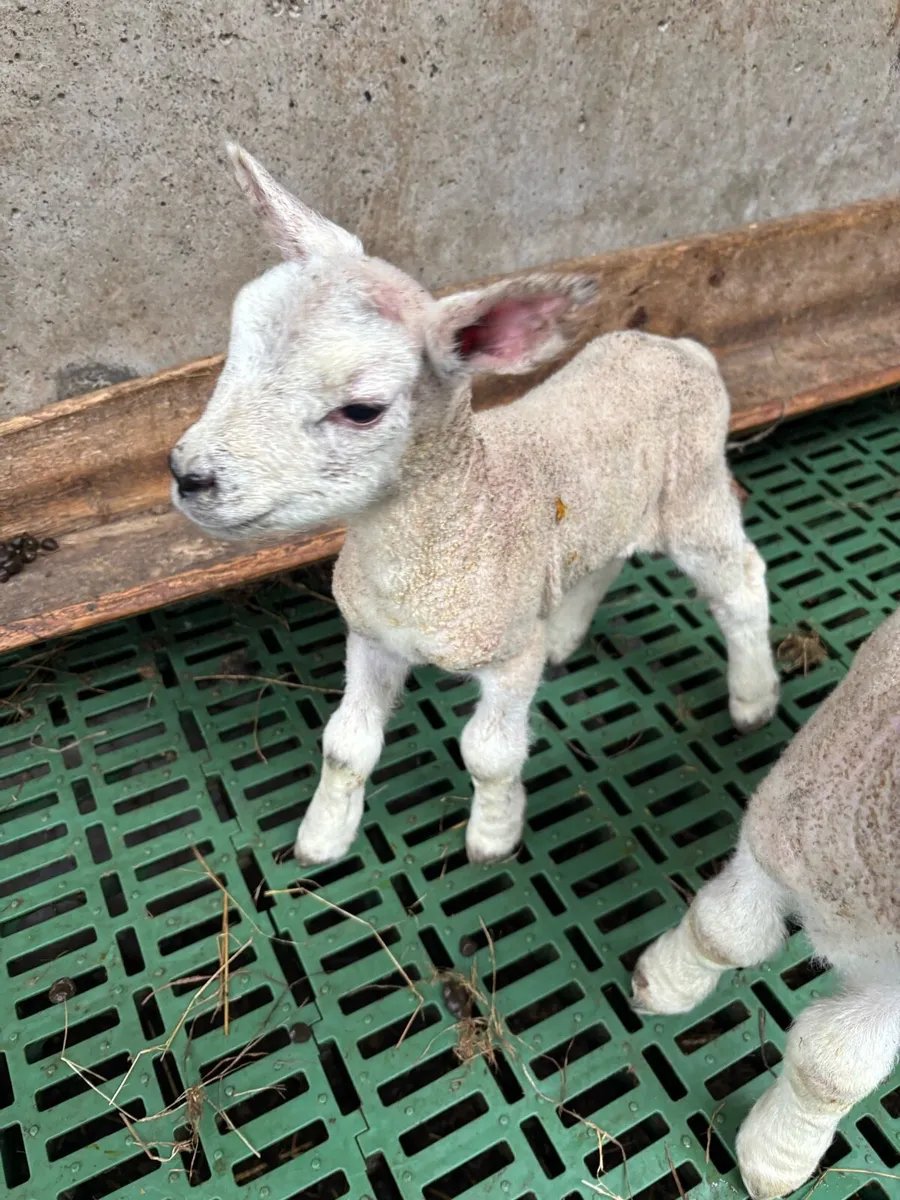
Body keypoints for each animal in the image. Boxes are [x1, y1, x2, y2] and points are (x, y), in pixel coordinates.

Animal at [170, 144, 780, 866]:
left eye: (362, 410)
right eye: (233, 353)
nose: (187, 475)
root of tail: (677, 347)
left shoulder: (507, 657)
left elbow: (489, 754)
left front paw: (492, 837)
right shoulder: (370, 636)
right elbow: (347, 743)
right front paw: (322, 839)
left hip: (694, 492)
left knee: (742, 583)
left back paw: (753, 698)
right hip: (609, 506)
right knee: (605, 559)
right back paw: (565, 637)